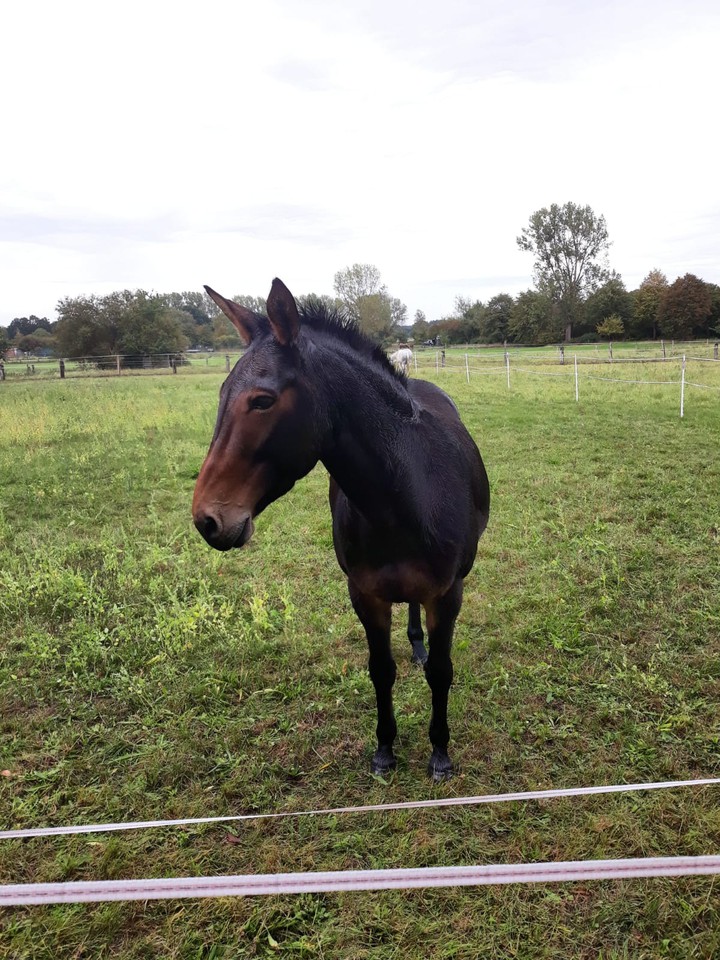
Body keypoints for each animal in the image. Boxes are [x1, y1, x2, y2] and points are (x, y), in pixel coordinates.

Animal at [192, 279, 490, 780]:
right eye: (218, 395)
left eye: (262, 400)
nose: (207, 519)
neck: (408, 494)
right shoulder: (365, 594)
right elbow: (380, 670)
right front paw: (385, 748)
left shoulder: (448, 594)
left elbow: (441, 672)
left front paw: (440, 752)